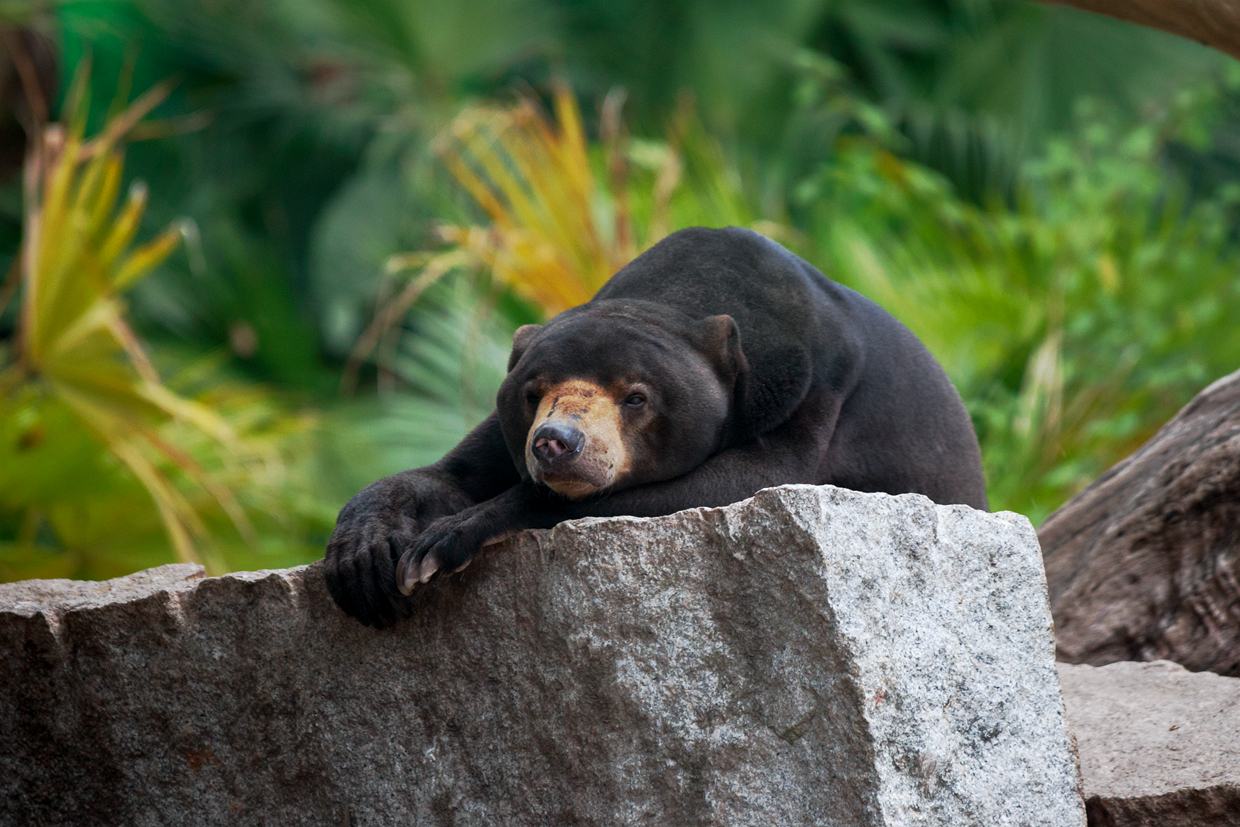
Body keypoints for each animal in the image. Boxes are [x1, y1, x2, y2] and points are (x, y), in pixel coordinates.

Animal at [325, 226, 988, 627]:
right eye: (534, 395)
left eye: (635, 398)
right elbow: (449, 472)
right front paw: (361, 560)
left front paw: (441, 542)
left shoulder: (814, 386)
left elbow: (730, 483)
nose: (555, 443)